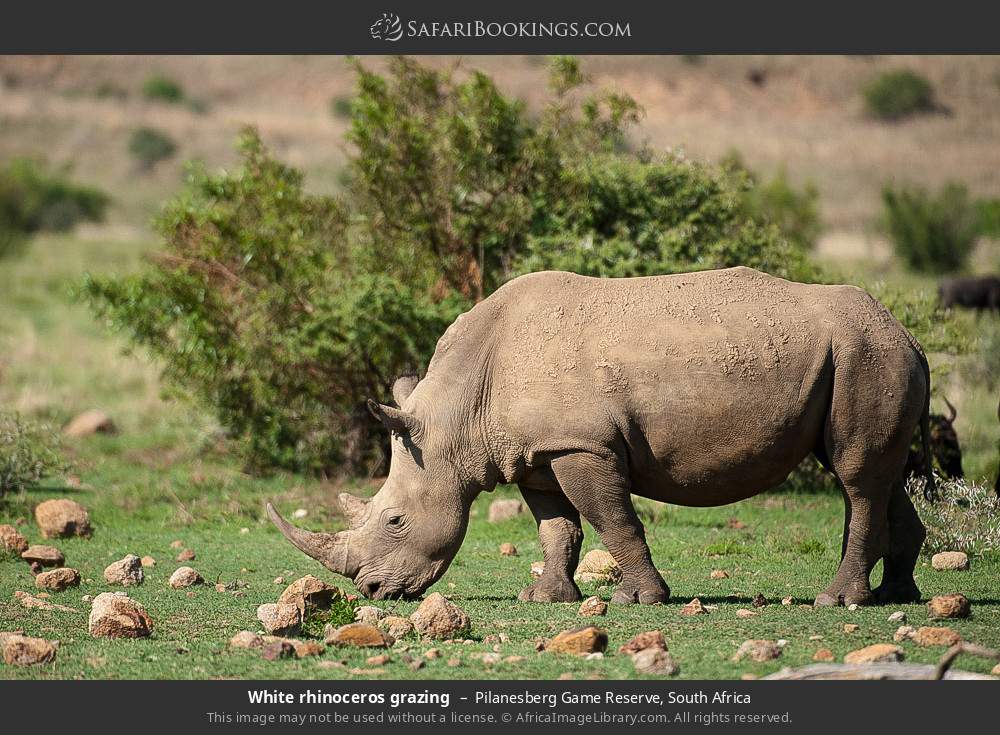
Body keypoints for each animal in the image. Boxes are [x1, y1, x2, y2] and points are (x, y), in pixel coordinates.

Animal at [268, 267, 934, 607]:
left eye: (395, 521)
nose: (373, 589)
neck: (458, 416)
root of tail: (909, 333)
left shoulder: (581, 444)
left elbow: (614, 521)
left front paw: (646, 599)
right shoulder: (536, 452)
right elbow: (556, 529)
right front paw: (548, 599)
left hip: (865, 355)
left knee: (855, 476)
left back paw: (839, 602)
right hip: (866, 355)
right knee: (879, 473)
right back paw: (897, 595)